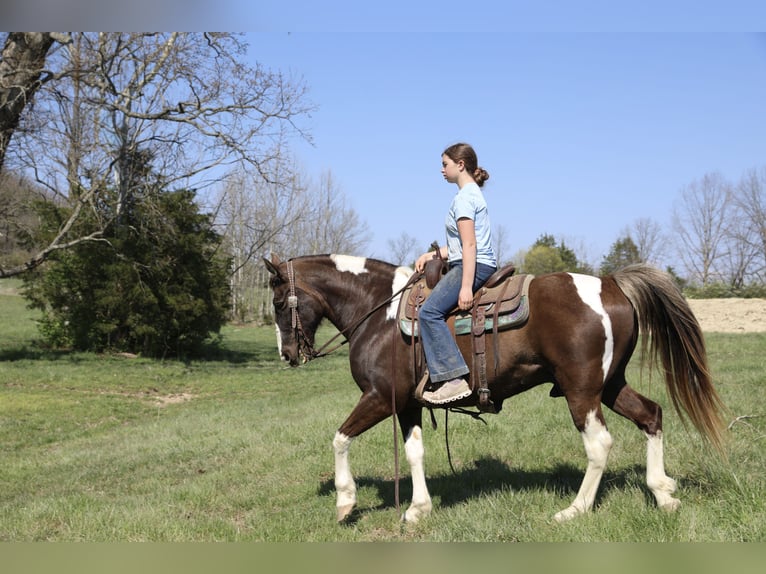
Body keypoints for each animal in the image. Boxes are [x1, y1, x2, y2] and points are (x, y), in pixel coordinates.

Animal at [264, 253, 727, 523]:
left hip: (581, 391)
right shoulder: (407, 405)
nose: (287, 354)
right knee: (652, 416)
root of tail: (610, 284)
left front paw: (345, 502)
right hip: (610, 385)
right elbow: (414, 454)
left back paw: (575, 509)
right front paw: (418, 509)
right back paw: (663, 493)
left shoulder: (377, 398)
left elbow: (340, 439)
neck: (380, 312)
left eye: (277, 301)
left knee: (599, 445)